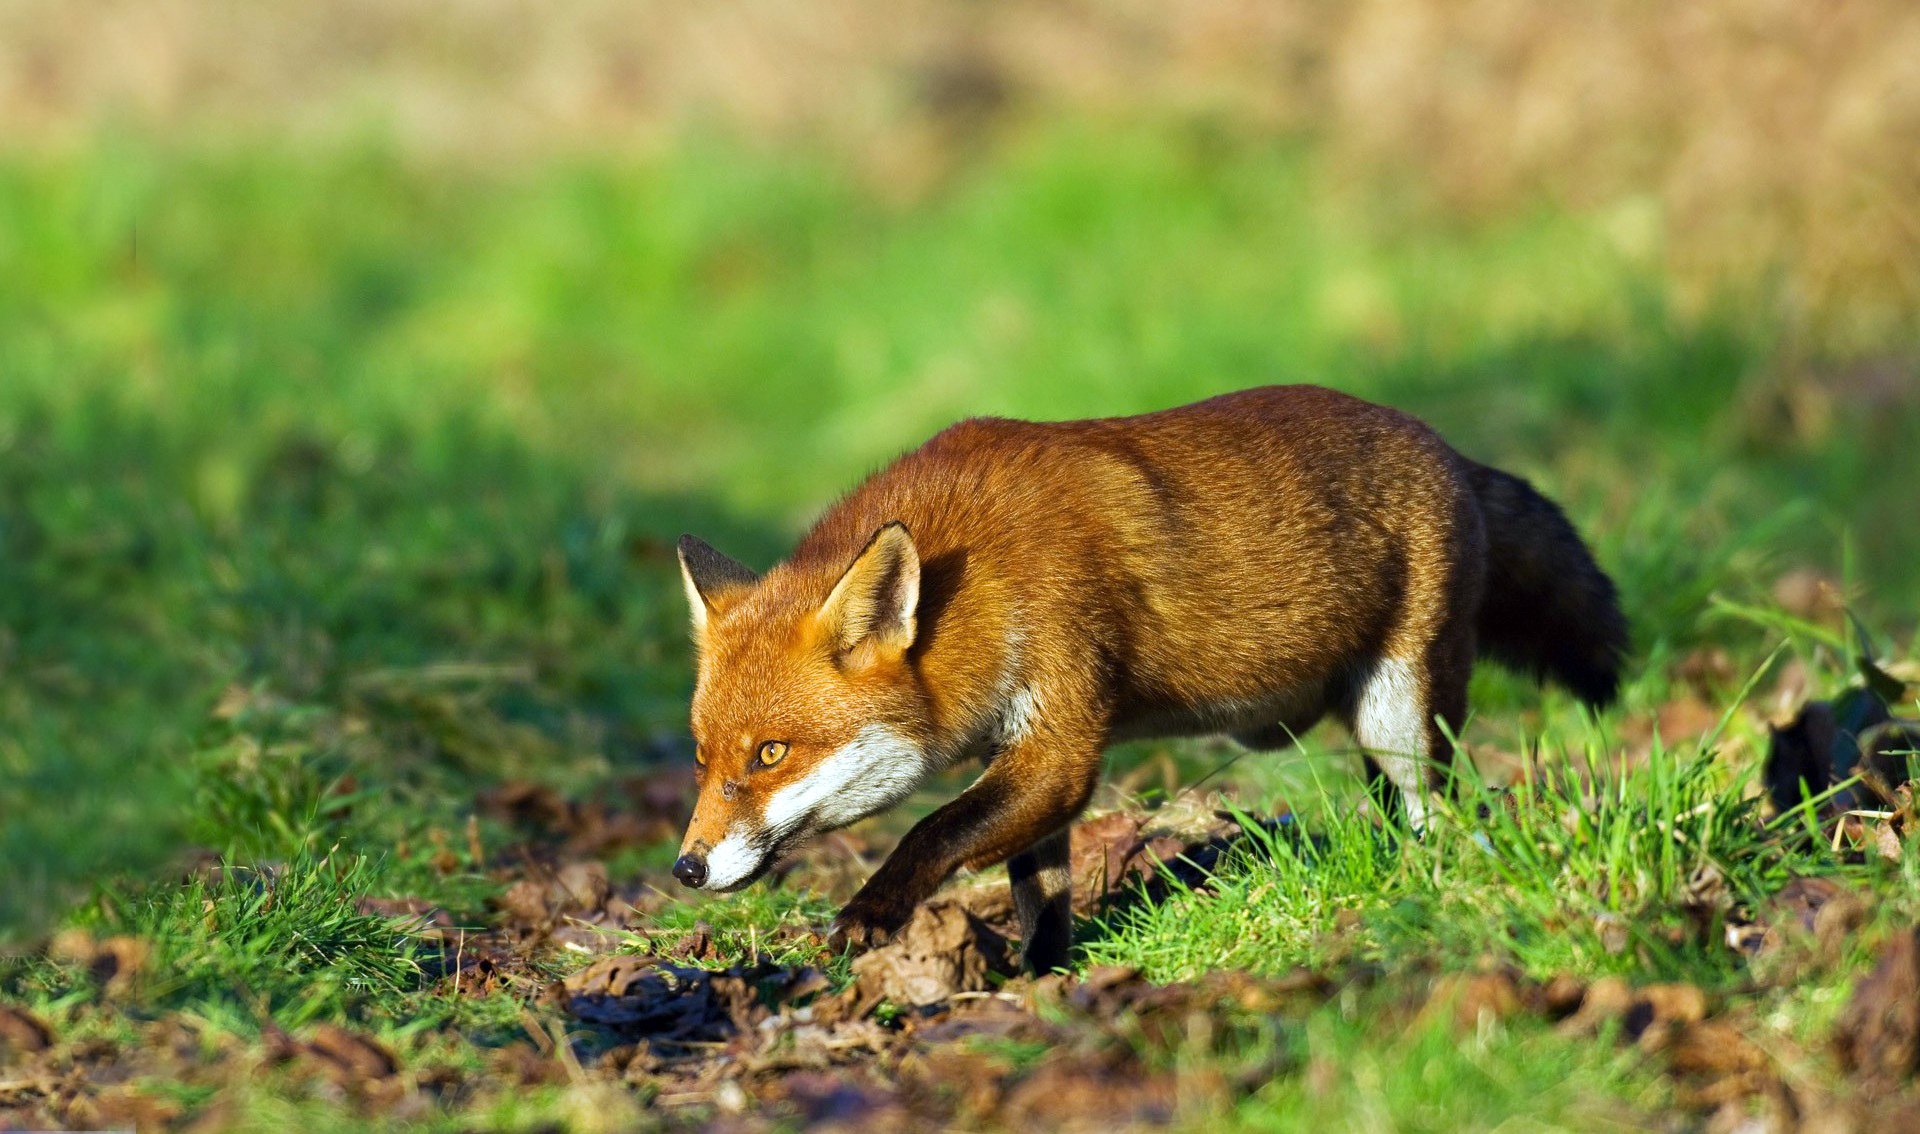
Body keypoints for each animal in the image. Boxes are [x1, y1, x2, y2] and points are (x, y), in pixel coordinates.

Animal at [670, 385, 1627, 972]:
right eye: (703, 759)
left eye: (770, 754)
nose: (686, 869)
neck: (980, 581)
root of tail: (1447, 448)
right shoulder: (1029, 759)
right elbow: (1039, 892)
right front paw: (1039, 978)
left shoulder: (1060, 739)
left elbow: (931, 832)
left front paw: (872, 914)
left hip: (1403, 721)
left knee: (1446, 817)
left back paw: (1423, 888)